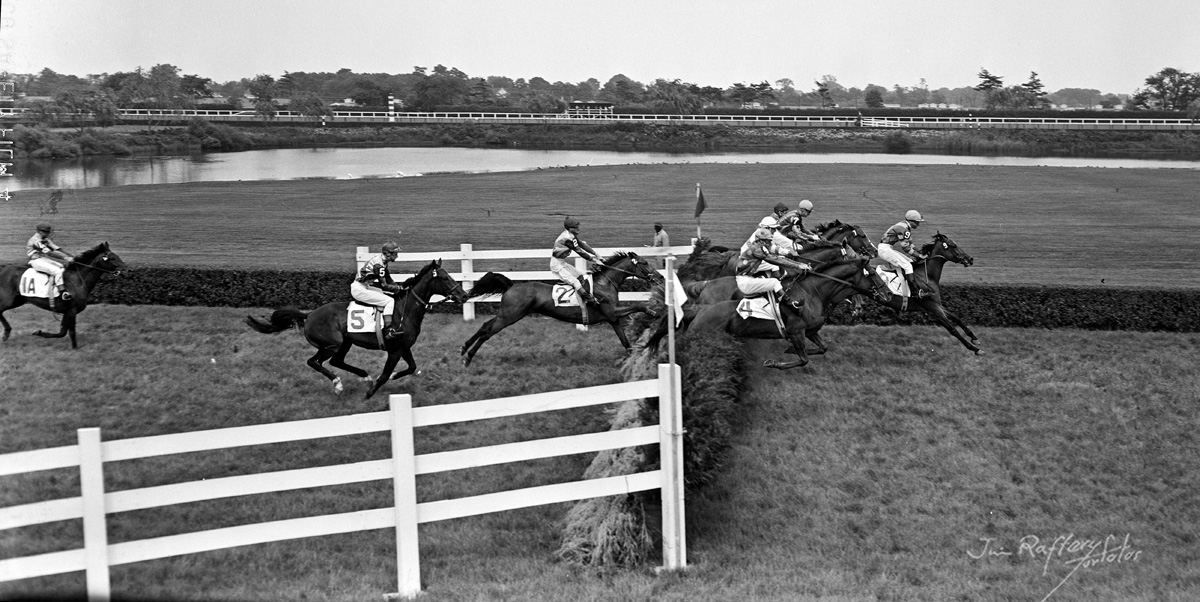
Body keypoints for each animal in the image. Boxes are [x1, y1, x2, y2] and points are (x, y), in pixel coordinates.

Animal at [0, 242, 128, 350]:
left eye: (117, 256)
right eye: (112, 258)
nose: (126, 270)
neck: (78, 279)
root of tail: (3, 269)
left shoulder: (67, 311)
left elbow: (62, 332)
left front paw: (39, 332)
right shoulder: (72, 310)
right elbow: (71, 332)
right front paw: (75, 348)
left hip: (18, 300)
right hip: (8, 300)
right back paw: (6, 333)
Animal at [244, 260, 468, 398]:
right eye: (445, 278)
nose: (464, 295)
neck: (405, 310)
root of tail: (309, 315)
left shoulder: (404, 346)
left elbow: (411, 367)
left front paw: (392, 377)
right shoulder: (395, 349)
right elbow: (385, 374)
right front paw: (369, 395)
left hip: (345, 342)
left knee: (336, 361)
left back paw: (364, 376)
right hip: (332, 344)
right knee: (314, 361)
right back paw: (338, 384)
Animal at [460, 250, 667, 366]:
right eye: (645, 263)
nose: (661, 277)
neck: (605, 283)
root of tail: (512, 285)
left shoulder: (613, 319)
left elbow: (625, 342)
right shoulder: (611, 311)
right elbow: (637, 305)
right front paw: (653, 311)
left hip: (507, 314)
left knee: (485, 326)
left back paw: (464, 348)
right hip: (510, 316)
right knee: (488, 332)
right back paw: (468, 357)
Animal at [648, 256, 892, 369]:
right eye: (872, 273)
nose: (889, 295)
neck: (813, 291)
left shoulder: (811, 330)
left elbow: (822, 348)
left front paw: (788, 350)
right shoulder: (796, 332)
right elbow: (803, 359)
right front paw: (774, 362)